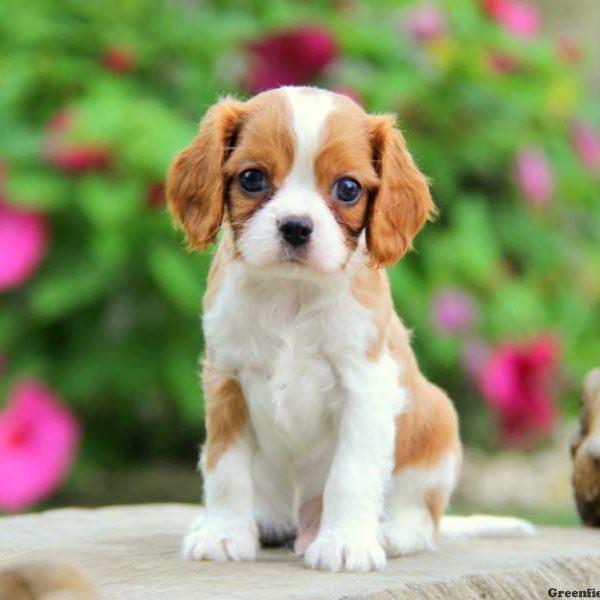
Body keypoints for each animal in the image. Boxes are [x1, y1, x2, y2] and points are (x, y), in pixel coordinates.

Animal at [166, 85, 532, 572]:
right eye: (251, 179)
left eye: (347, 188)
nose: (296, 226)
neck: (291, 294)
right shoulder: (226, 381)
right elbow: (225, 467)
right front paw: (224, 533)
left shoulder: (366, 387)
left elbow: (351, 473)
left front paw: (345, 543)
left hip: (437, 423)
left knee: (424, 516)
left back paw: (392, 532)